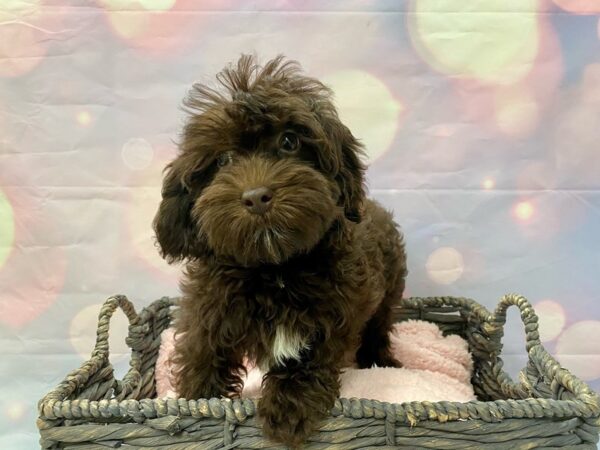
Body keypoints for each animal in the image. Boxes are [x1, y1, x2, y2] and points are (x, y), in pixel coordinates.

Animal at [154, 55, 408, 446]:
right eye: (223, 160)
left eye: (289, 141)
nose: (257, 196)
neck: (274, 269)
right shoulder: (209, 309)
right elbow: (202, 354)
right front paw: (195, 404)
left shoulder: (335, 313)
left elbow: (308, 360)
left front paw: (288, 411)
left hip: (389, 289)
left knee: (379, 326)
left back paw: (381, 361)